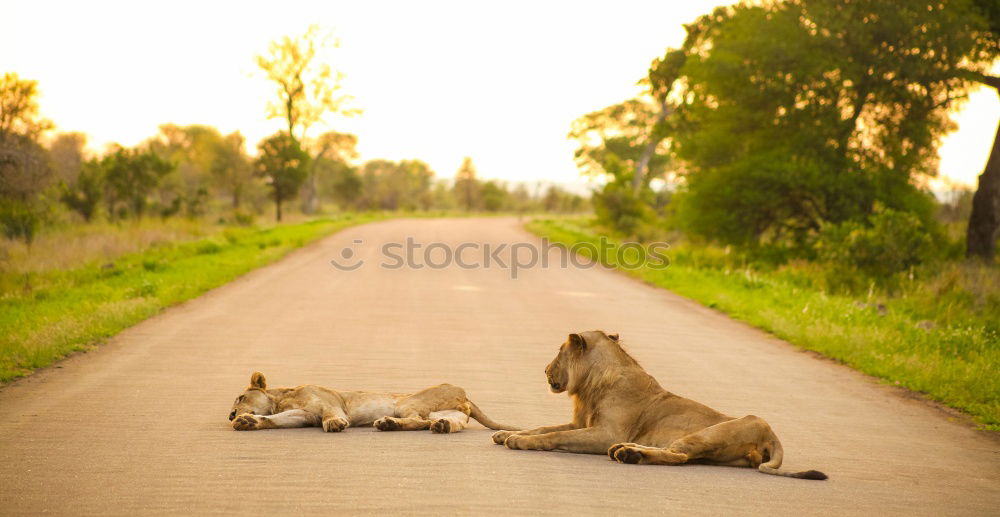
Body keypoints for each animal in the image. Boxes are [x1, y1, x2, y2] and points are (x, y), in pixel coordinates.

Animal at [492, 330, 828, 480]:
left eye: (558, 353)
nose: (544, 370)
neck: (592, 384)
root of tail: (772, 435)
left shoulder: (605, 432)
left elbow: (555, 435)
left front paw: (519, 441)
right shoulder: (583, 423)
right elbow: (543, 426)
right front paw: (506, 433)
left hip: (714, 432)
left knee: (679, 456)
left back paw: (628, 454)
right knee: (677, 455)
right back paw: (627, 452)